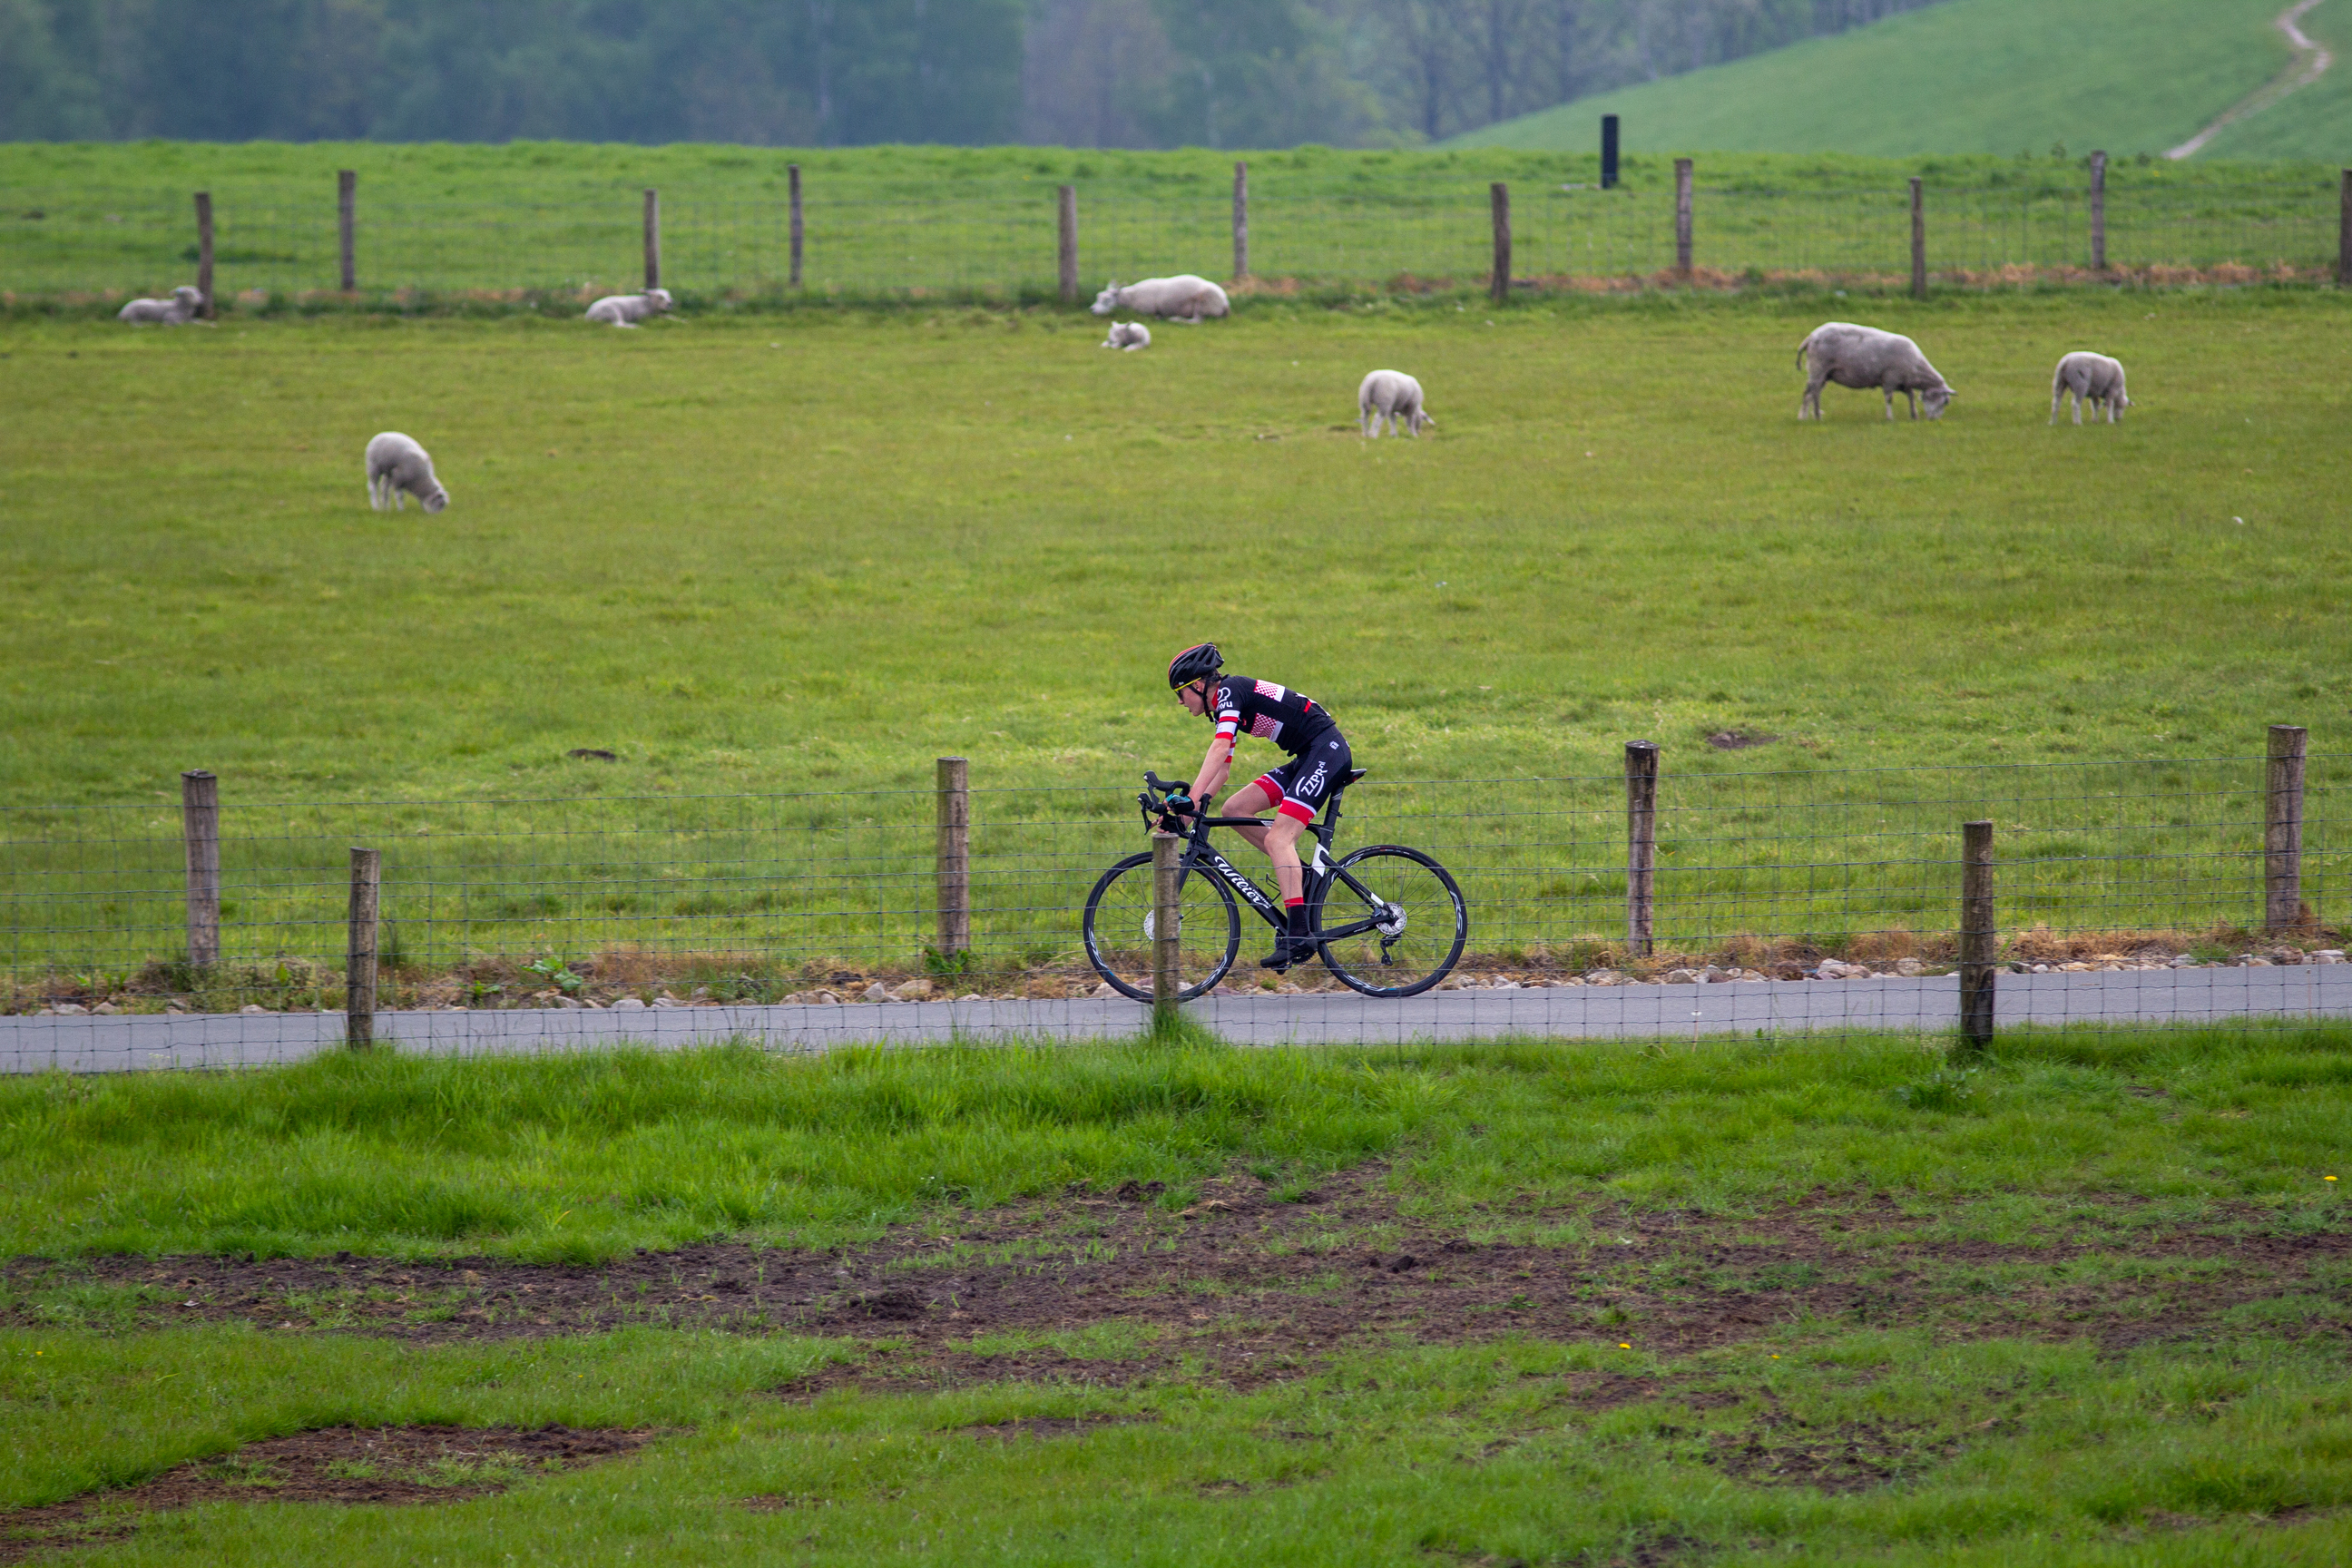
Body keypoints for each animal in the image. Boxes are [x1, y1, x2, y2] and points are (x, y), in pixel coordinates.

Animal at [1086, 275, 1232, 324]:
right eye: (1098, 296)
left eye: (1106, 299)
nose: (1092, 310)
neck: (1130, 297)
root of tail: (1225, 303)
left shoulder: (1145, 311)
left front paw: (1159, 317)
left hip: (1203, 304)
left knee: (1197, 321)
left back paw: (1175, 319)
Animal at [1787, 321, 1956, 420]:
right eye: (1945, 401)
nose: (1934, 420)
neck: (1917, 368)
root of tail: (1810, 337)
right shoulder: (1890, 378)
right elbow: (1889, 398)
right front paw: (1890, 418)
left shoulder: (1904, 382)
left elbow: (1911, 396)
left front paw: (1914, 415)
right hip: (1818, 368)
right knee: (1814, 393)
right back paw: (1816, 416)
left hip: (1824, 374)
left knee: (1809, 392)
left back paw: (1803, 417)